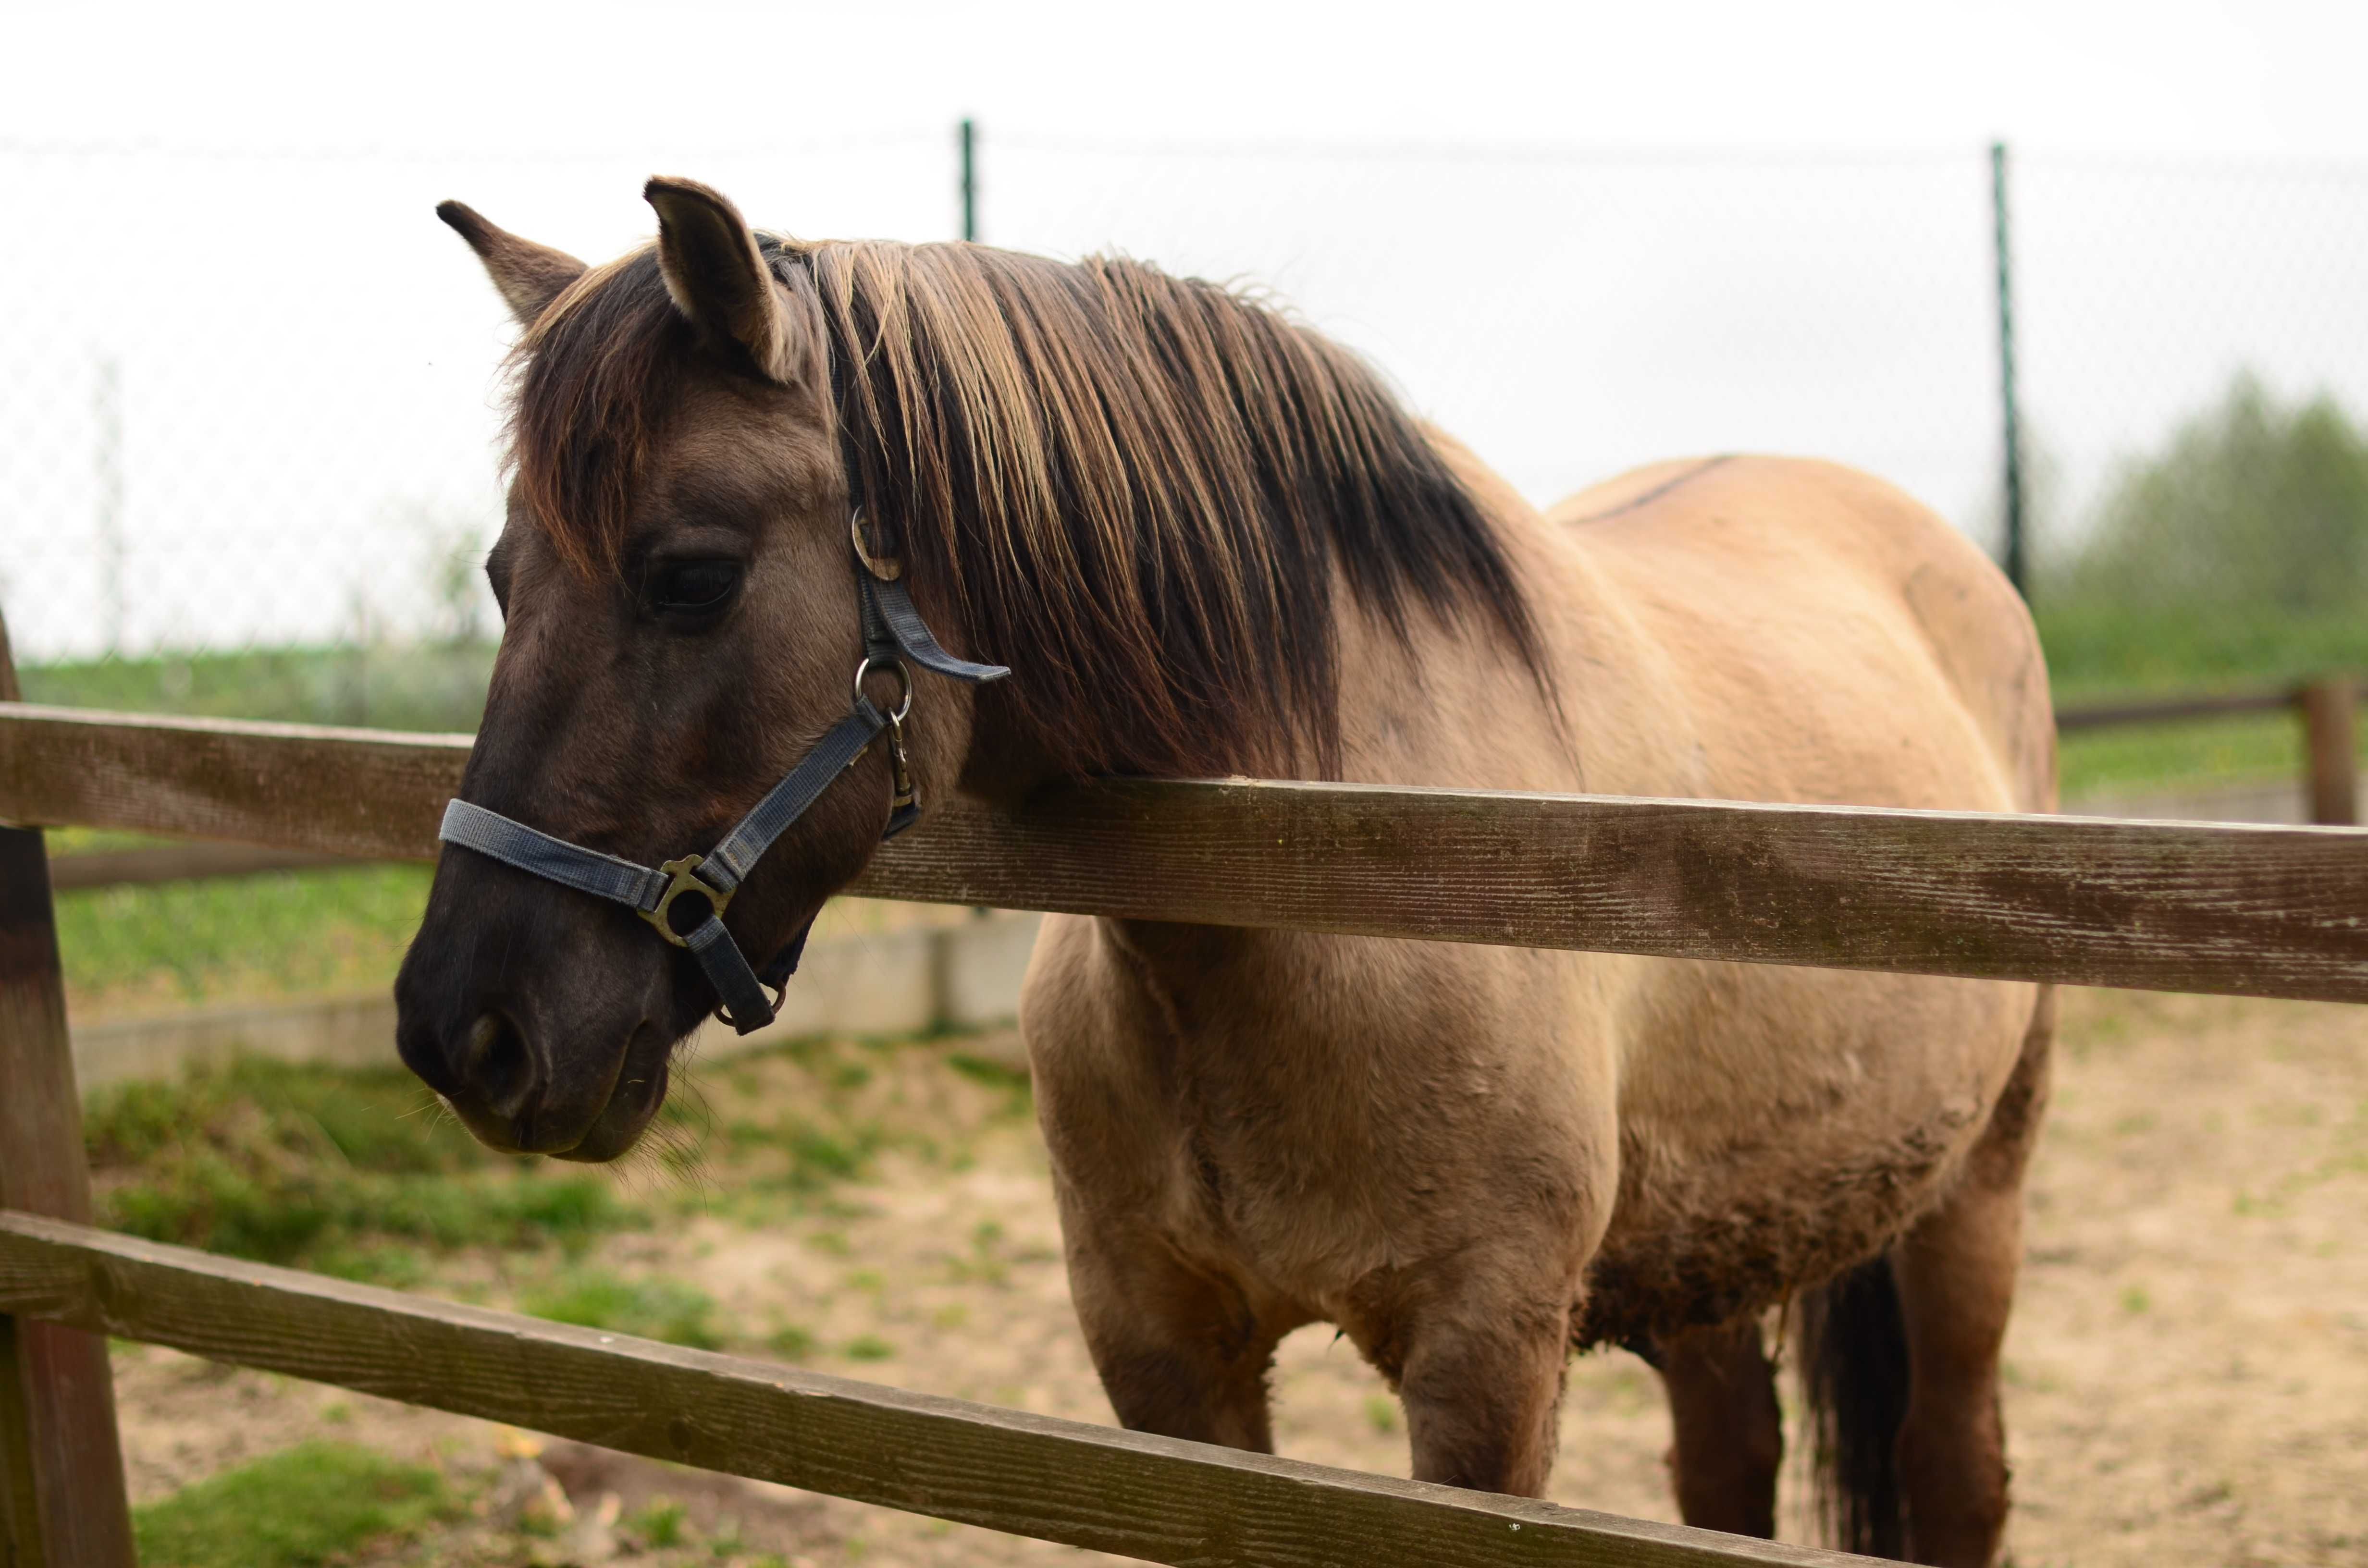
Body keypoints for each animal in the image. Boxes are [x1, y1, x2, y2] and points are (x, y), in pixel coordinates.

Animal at [388, 177, 2055, 1563]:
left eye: (690, 574)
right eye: (500, 577)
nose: (468, 1030)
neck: (1296, 894)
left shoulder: (1485, 1367)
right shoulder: (1162, 1356)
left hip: (1975, 1188)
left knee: (1955, 1471)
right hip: (1712, 1244)